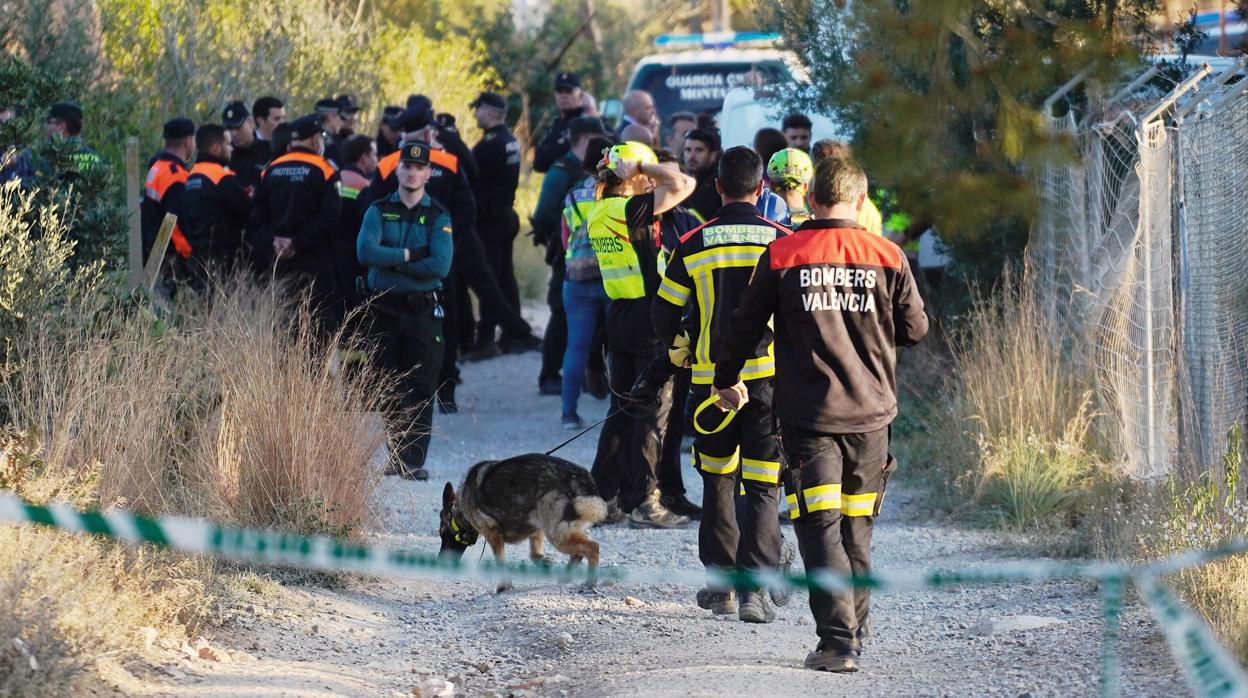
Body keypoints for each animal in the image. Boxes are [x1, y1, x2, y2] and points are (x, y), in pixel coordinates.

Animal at [441, 454, 606, 589]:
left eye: (443, 534)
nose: (439, 560)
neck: (460, 508)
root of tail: (579, 476)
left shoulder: (493, 535)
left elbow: (501, 563)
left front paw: (503, 587)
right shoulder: (536, 527)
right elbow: (534, 554)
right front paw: (544, 561)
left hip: (557, 536)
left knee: (593, 547)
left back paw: (590, 582)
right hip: (562, 530)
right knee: (579, 552)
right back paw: (566, 578)